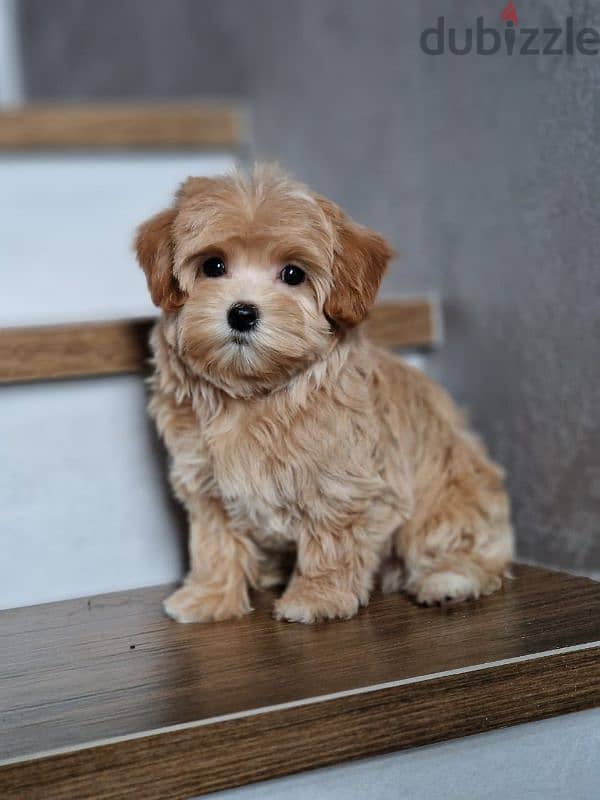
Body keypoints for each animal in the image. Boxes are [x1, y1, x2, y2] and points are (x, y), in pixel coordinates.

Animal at [137, 164, 516, 624]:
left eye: (293, 274)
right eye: (213, 265)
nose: (242, 313)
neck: (255, 391)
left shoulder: (342, 482)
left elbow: (332, 541)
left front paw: (316, 598)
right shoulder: (206, 482)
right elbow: (215, 543)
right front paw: (210, 596)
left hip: (448, 502)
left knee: (473, 554)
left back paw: (447, 581)